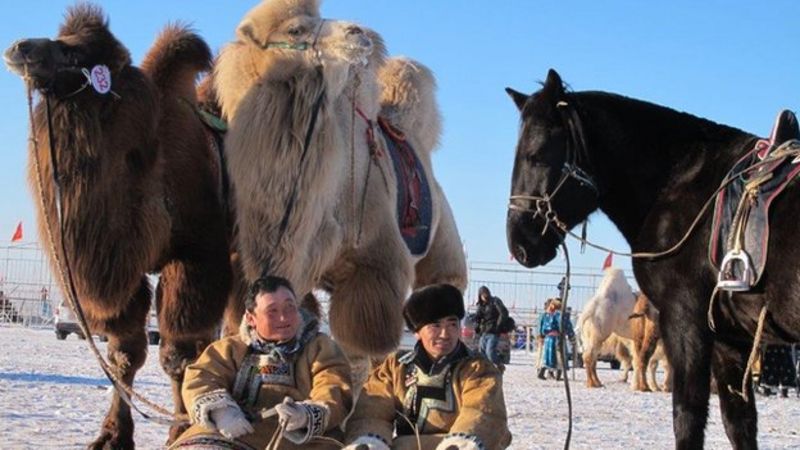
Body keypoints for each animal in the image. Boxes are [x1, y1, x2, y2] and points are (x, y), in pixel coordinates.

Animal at [506, 68, 800, 448]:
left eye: (538, 154)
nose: (519, 243)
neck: (685, 185)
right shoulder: (729, 337)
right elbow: (739, 422)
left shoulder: (686, 321)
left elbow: (688, 417)